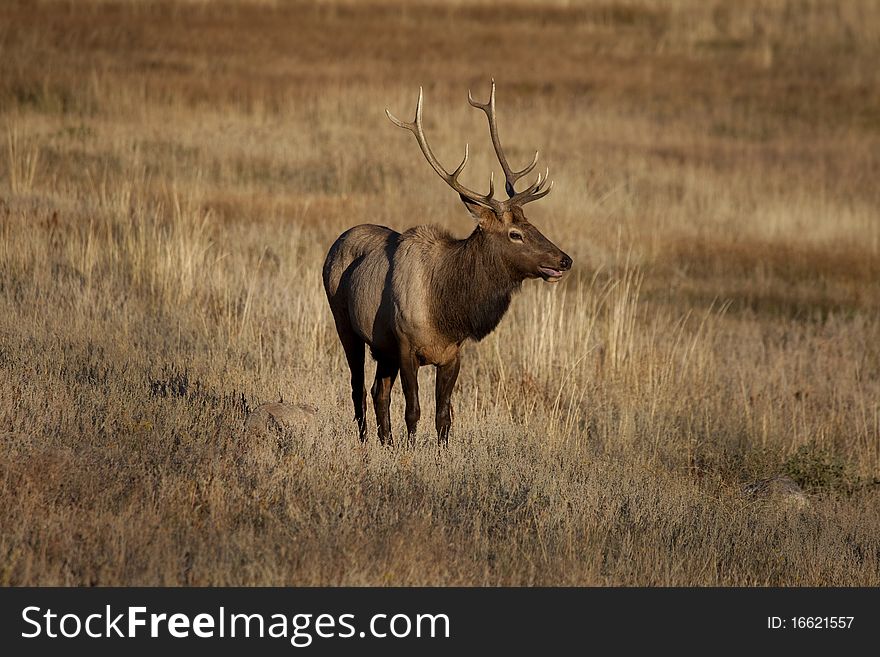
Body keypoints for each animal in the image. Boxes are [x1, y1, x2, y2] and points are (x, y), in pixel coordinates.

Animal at [324, 79, 572, 444]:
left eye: (533, 225)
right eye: (515, 234)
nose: (565, 260)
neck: (446, 311)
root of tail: (337, 241)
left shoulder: (452, 354)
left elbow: (445, 416)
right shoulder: (406, 346)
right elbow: (414, 411)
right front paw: (410, 452)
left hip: (382, 347)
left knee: (377, 391)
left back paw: (386, 442)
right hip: (346, 324)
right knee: (358, 387)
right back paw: (367, 441)